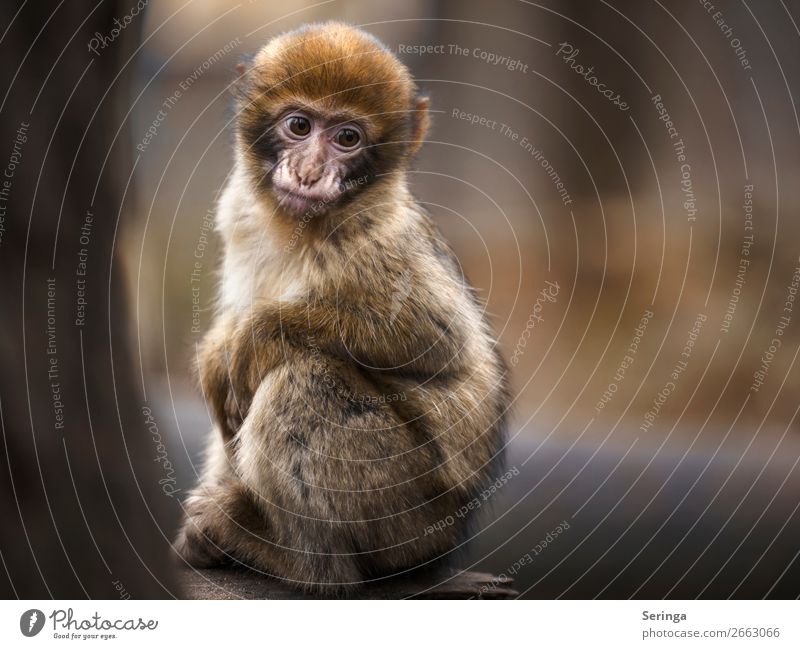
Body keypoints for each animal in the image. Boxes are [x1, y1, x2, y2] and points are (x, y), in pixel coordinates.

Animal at [177, 21, 510, 592]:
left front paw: (261, 333)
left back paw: (293, 560)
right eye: (298, 125)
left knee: (305, 379)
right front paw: (215, 352)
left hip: (405, 517)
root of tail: (442, 544)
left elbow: (436, 340)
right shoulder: (239, 212)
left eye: (347, 138)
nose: (309, 171)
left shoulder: (376, 237)